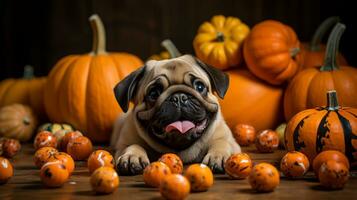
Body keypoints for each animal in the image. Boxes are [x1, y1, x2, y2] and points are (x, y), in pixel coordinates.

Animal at [110, 54, 241, 174]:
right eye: (153, 93)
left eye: (199, 87)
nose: (178, 97)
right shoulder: (124, 144)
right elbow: (133, 145)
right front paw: (132, 156)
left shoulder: (228, 140)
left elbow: (221, 142)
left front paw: (218, 155)